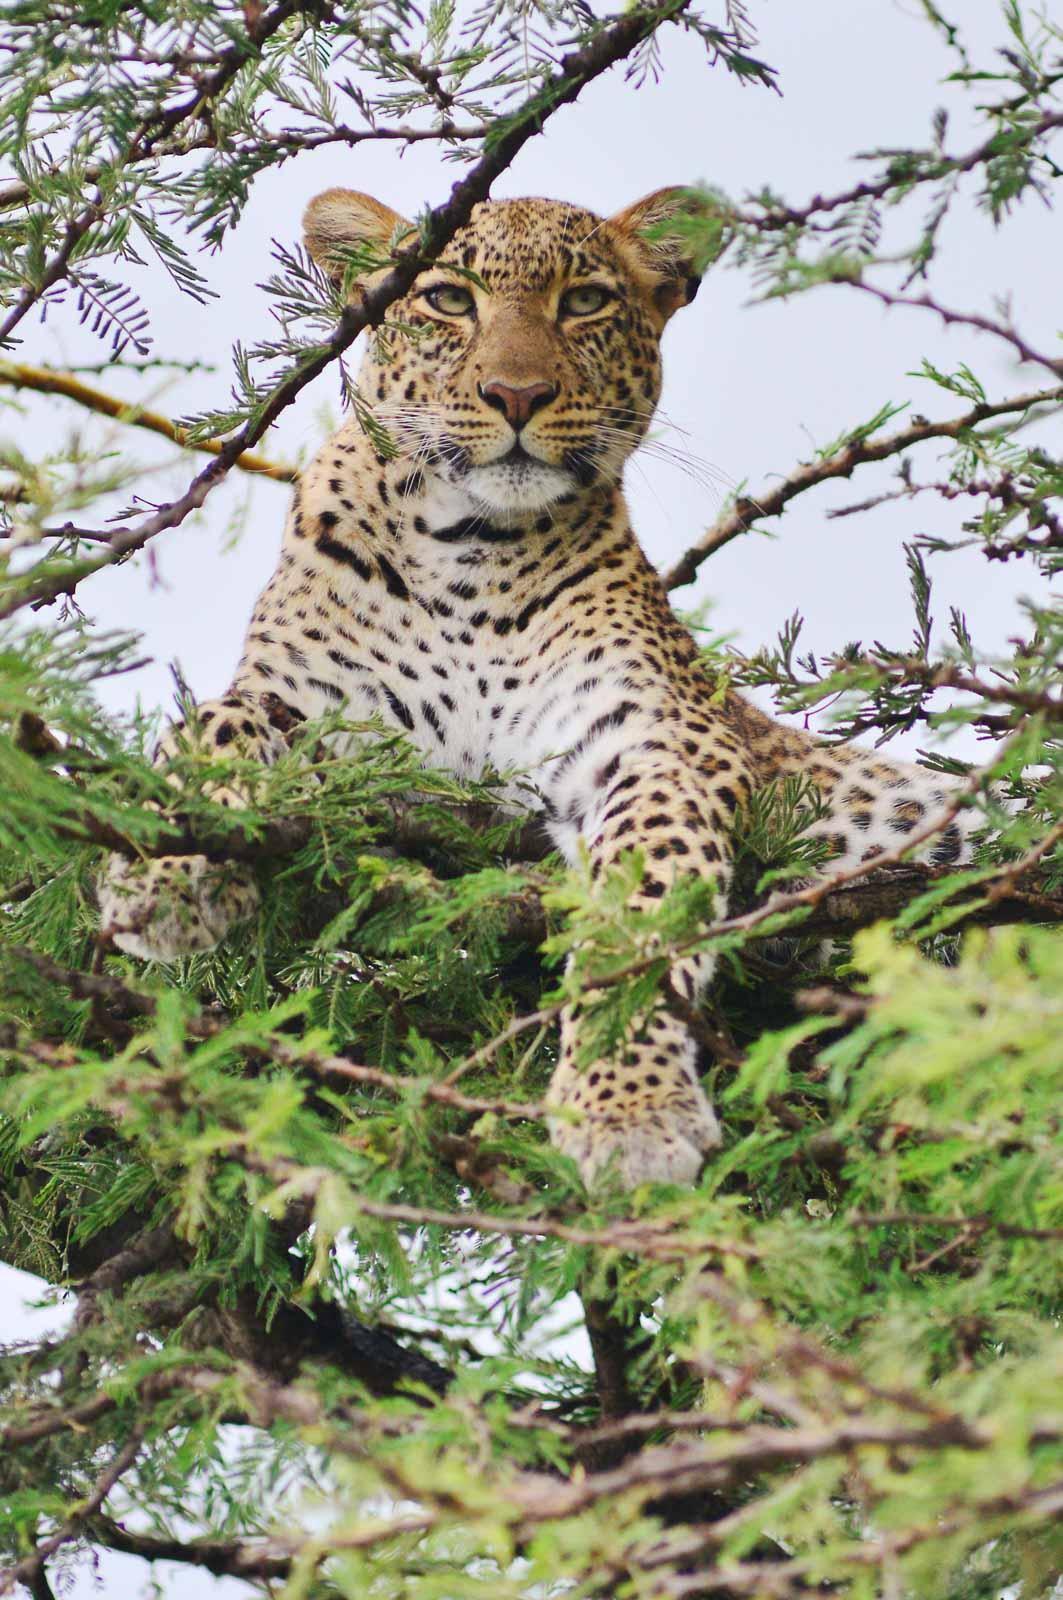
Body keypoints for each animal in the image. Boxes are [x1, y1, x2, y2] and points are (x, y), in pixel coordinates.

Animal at [97, 184, 973, 1190]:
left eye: (584, 302)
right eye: (446, 298)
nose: (516, 395)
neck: (467, 550)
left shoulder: (655, 740)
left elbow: (641, 911)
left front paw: (629, 1105)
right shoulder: (309, 706)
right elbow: (213, 726)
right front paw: (163, 873)